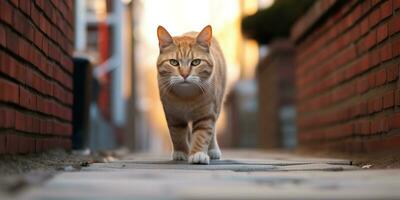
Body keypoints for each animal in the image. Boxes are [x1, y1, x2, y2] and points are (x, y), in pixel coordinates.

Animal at [155, 25, 225, 164]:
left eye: (196, 62)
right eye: (174, 62)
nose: (184, 74)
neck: (186, 97)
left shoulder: (206, 115)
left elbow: (202, 135)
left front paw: (198, 154)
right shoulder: (173, 116)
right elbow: (177, 134)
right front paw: (181, 152)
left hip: (217, 106)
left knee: (213, 130)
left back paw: (213, 150)